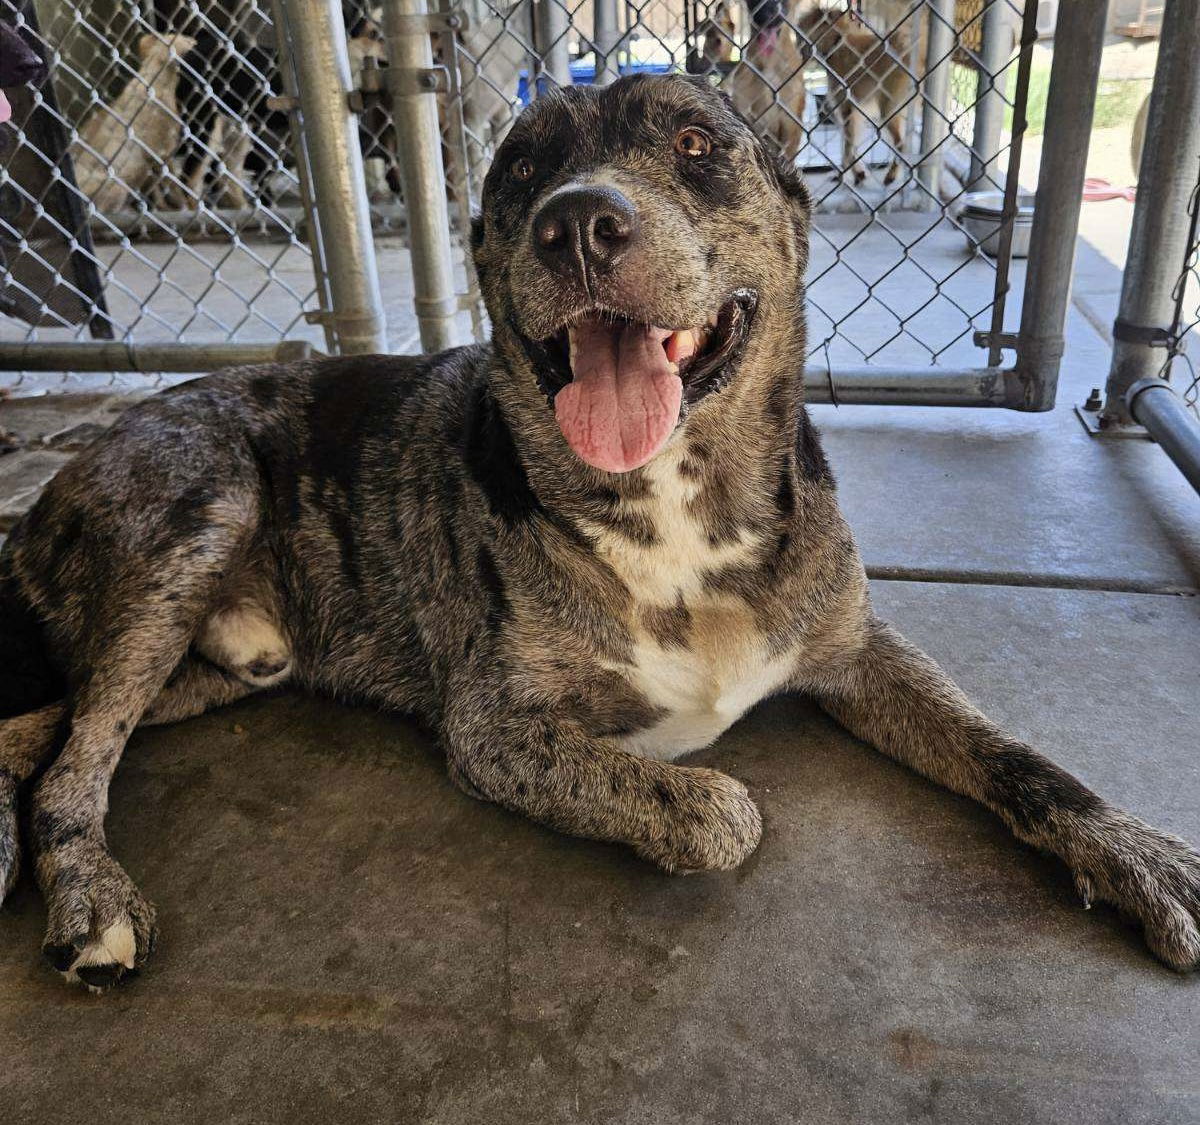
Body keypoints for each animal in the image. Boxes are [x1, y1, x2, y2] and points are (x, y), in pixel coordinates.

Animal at [2, 76, 1200, 983]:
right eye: (519, 171)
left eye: (694, 142)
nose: (575, 221)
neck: (676, 506)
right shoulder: (492, 729)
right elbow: (723, 811)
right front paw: (687, 784)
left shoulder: (859, 649)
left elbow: (1017, 757)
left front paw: (1134, 849)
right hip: (198, 515)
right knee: (72, 764)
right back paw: (87, 895)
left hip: (223, 664)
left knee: (51, 732)